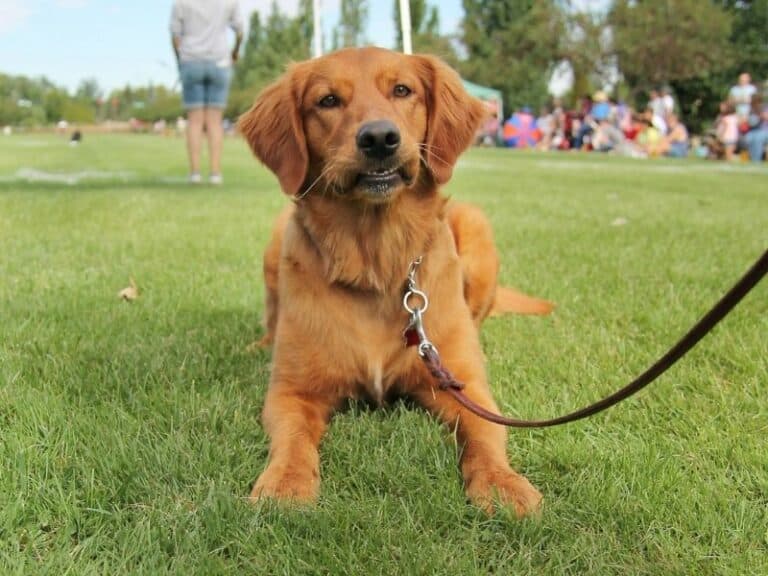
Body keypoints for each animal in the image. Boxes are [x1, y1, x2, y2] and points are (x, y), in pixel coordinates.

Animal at [237, 47, 548, 516]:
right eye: (328, 100)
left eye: (402, 90)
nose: (380, 138)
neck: (375, 263)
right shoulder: (293, 390)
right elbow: (292, 439)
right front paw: (286, 484)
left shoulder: (463, 384)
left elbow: (486, 432)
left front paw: (501, 482)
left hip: (476, 227)